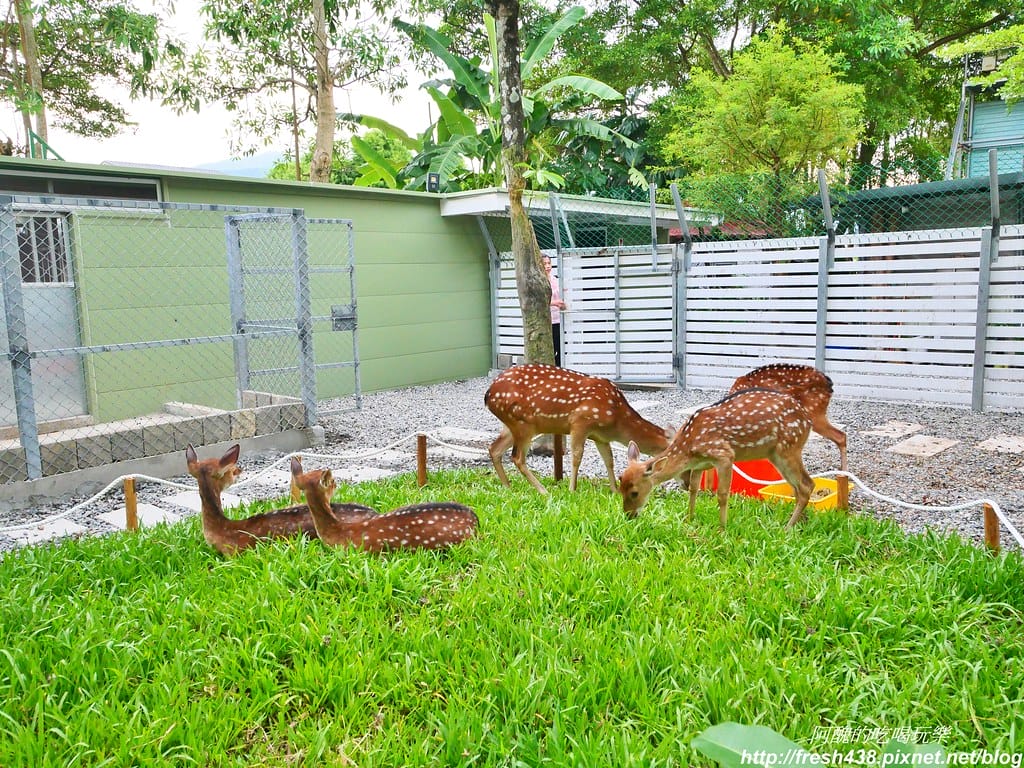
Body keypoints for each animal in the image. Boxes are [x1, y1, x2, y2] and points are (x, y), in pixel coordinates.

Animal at [484, 364, 673, 495]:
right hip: (523, 424)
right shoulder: (580, 422)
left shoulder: (600, 437)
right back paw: (543, 491)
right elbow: (576, 456)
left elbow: (609, 460)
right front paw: (572, 489)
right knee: (517, 457)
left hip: (513, 425)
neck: (616, 419)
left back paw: (508, 487)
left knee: (494, 449)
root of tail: (488, 394)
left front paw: (615, 490)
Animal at [618, 388, 815, 530]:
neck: (689, 446)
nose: (628, 515)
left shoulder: (724, 455)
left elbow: (722, 495)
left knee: (806, 485)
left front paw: (721, 529)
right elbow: (693, 490)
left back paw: (787, 528)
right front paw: (689, 519)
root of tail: (808, 420)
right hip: (775, 454)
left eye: (634, 492)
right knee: (798, 487)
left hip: (788, 448)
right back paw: (800, 522)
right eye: (620, 488)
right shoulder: (700, 464)